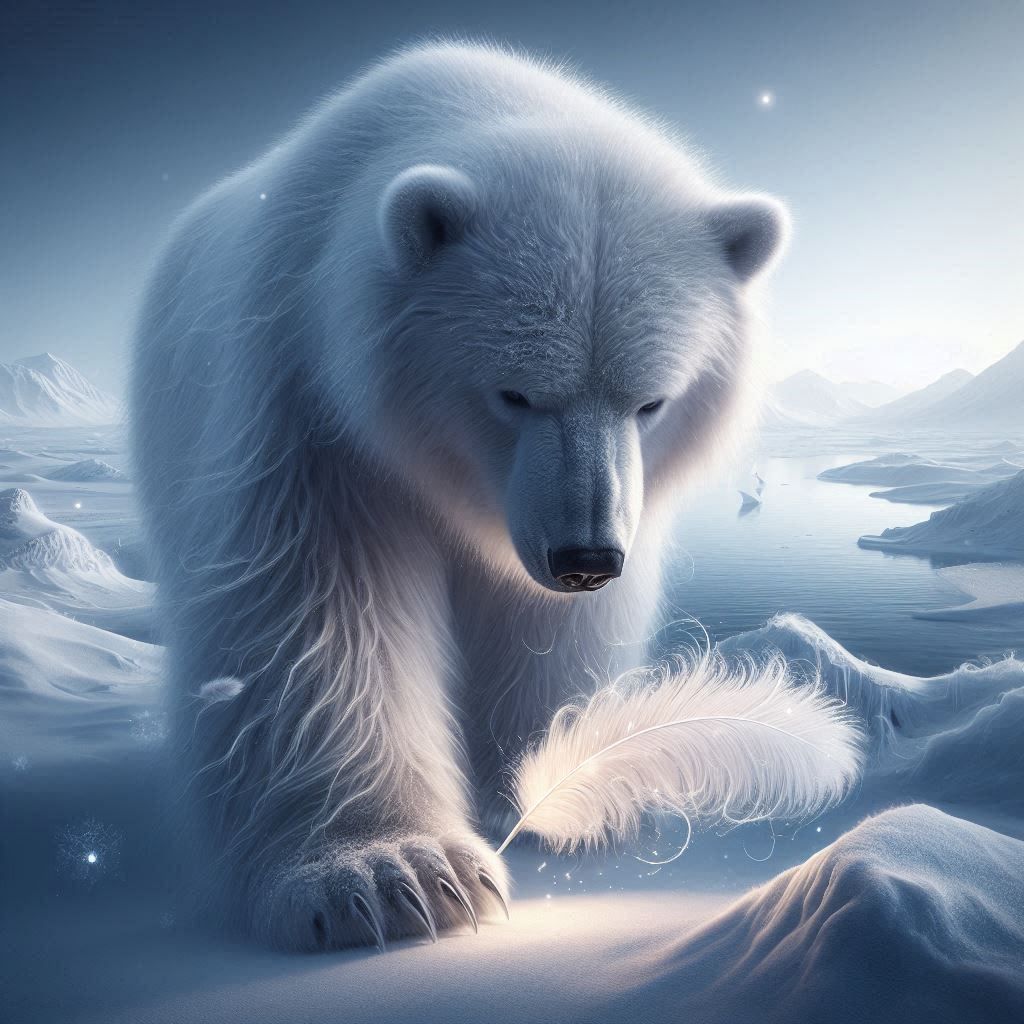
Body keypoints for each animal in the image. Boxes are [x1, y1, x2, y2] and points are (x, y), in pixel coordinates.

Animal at [131, 42, 788, 951]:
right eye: (513, 392)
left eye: (651, 400)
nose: (585, 557)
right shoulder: (309, 400)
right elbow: (318, 608)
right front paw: (392, 874)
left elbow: (547, 634)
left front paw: (560, 785)